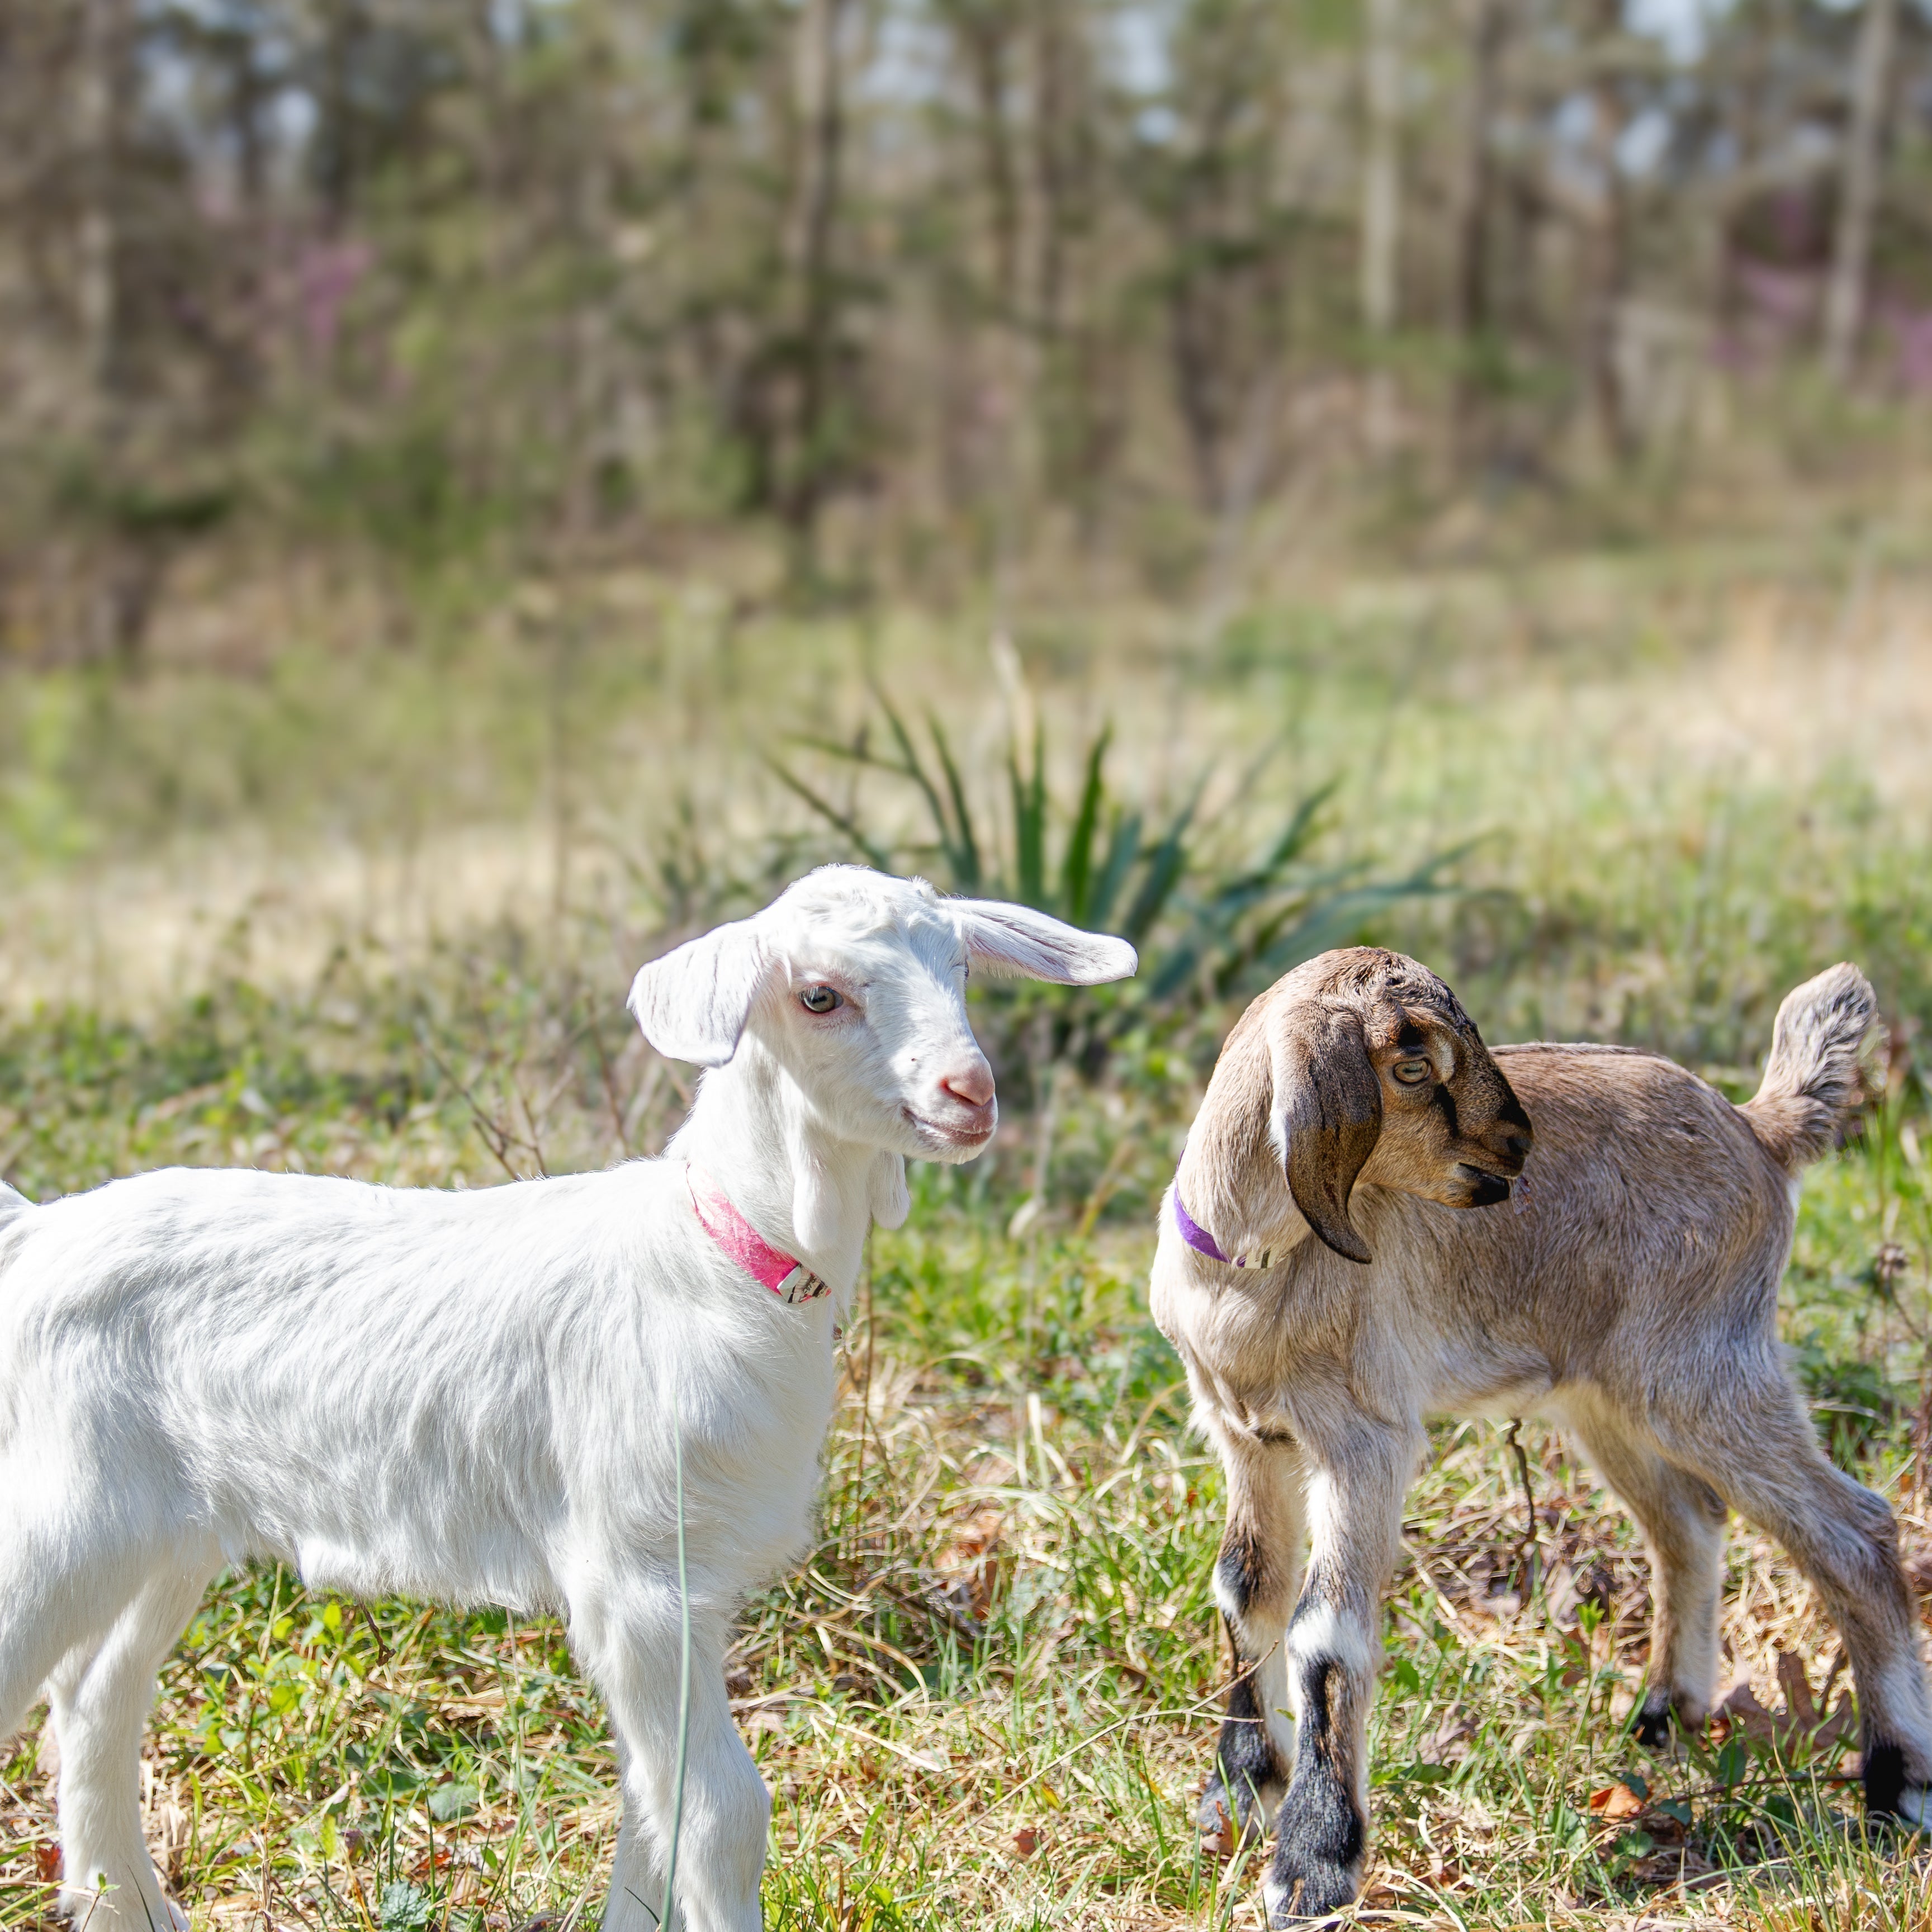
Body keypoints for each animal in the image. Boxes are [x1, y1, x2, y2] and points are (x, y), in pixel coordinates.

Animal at [0, 864, 1135, 1932]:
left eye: (960, 967)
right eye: (819, 996)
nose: (970, 1091)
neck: (722, 1253)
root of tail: (39, 1229)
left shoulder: (692, 1582)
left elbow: (654, 1804)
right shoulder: (635, 1574)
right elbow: (720, 1811)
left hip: (163, 1531)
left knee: (93, 1697)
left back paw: (122, 1906)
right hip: (68, 1507)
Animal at [1150, 947, 1932, 1923]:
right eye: (1414, 1066)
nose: (1517, 1148)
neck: (1252, 1274)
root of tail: (1759, 1130)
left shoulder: (1366, 1441)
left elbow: (1324, 1634)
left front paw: (1312, 1869)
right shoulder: (1248, 1436)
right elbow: (1245, 1593)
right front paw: (1239, 1798)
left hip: (1706, 1369)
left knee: (1856, 1532)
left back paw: (1897, 1787)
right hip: (1609, 1396)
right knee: (1689, 1520)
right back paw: (1665, 1716)